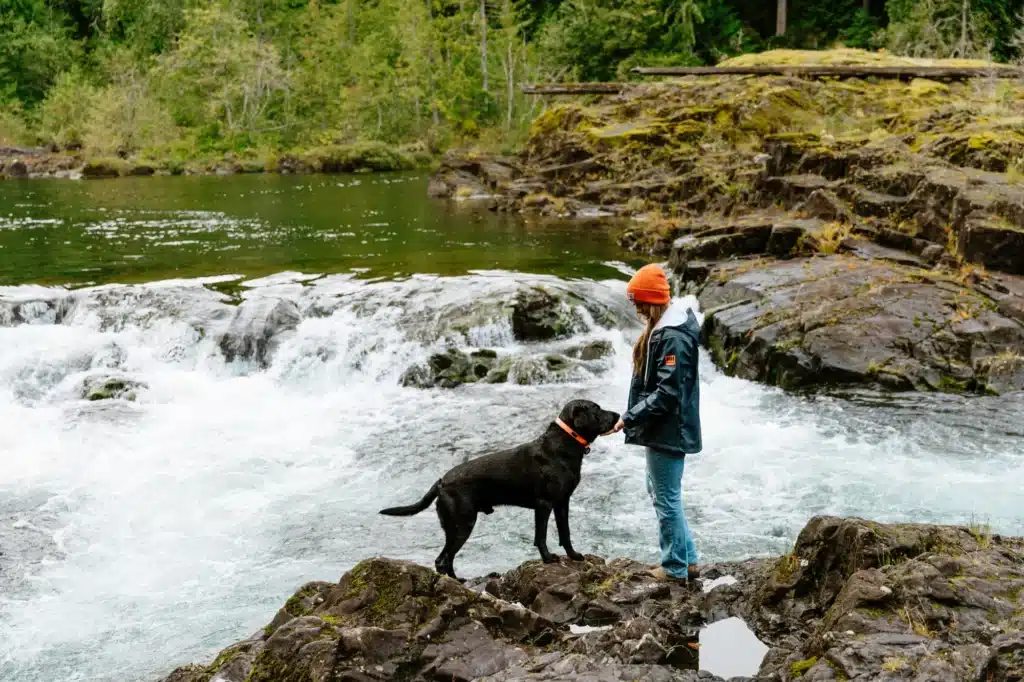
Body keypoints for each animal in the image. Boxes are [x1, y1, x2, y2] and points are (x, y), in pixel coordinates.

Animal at [378, 399, 614, 577]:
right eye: (597, 409)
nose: (618, 415)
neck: (564, 444)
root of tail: (441, 482)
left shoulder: (562, 503)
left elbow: (565, 533)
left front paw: (573, 556)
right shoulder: (544, 504)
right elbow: (541, 536)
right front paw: (548, 559)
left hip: (456, 527)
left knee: (445, 558)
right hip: (462, 524)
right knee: (443, 559)